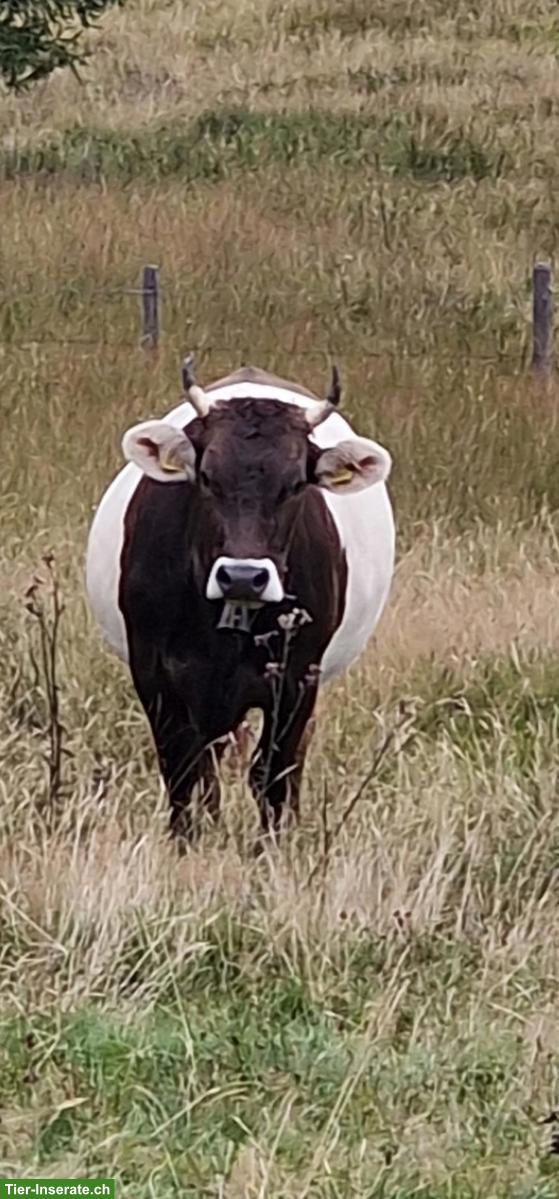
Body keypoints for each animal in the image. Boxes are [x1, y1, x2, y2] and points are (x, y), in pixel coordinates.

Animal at [85, 359, 395, 845]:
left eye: (295, 485)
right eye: (207, 477)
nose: (245, 576)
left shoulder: (296, 678)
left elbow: (272, 774)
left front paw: (271, 848)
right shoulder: (154, 674)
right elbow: (181, 769)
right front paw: (184, 843)